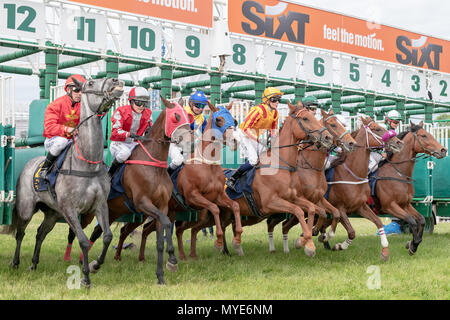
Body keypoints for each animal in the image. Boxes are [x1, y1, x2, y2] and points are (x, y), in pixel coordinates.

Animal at [3, 77, 124, 288]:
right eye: (90, 83)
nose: (114, 80)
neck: (87, 163)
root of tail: (28, 164)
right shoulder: (70, 209)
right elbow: (82, 240)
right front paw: (85, 277)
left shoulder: (100, 205)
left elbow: (107, 236)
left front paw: (96, 265)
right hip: (27, 209)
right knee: (20, 233)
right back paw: (15, 262)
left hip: (52, 213)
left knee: (40, 233)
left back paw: (34, 264)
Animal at [63, 97, 195, 284]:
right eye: (176, 117)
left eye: (188, 117)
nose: (191, 143)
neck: (153, 166)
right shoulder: (142, 202)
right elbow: (166, 223)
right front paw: (172, 259)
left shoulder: (162, 206)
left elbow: (161, 238)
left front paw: (162, 274)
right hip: (89, 212)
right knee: (74, 231)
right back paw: (71, 258)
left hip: (112, 212)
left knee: (98, 232)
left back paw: (92, 263)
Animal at [314, 116, 406, 262]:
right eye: (377, 128)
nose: (399, 142)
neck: (353, 174)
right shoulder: (340, 207)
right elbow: (351, 232)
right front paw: (338, 245)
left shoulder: (360, 206)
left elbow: (378, 222)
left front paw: (385, 251)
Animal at [372, 122, 446, 255]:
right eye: (423, 135)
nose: (443, 150)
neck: (399, 174)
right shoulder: (390, 206)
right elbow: (411, 221)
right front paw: (413, 244)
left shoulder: (405, 204)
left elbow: (421, 220)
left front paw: (414, 243)